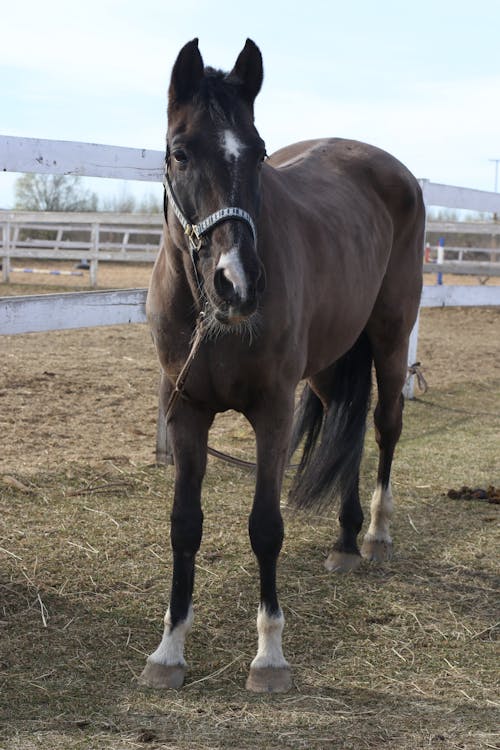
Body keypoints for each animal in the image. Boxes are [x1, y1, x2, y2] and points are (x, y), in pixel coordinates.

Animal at [140, 36, 422, 692]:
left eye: (260, 152)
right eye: (180, 153)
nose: (237, 283)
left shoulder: (272, 410)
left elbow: (265, 526)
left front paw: (269, 656)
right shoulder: (185, 411)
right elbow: (183, 523)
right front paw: (169, 650)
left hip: (392, 341)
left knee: (385, 426)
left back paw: (374, 533)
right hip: (328, 359)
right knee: (349, 427)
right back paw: (345, 539)